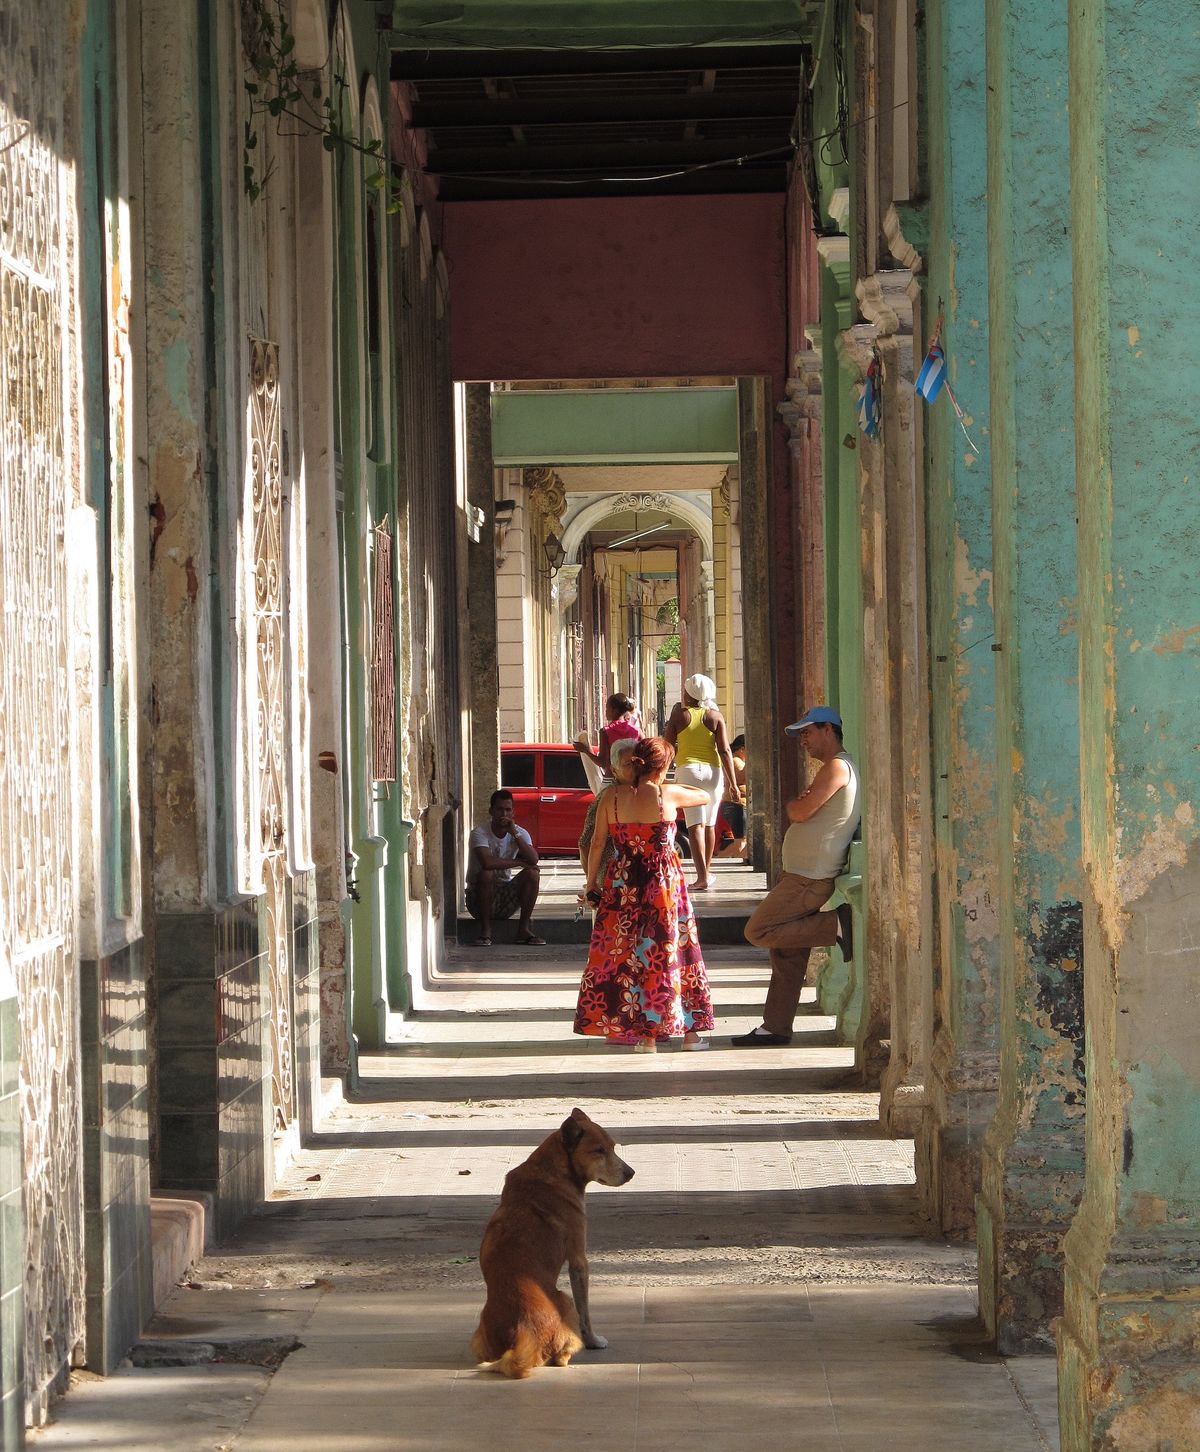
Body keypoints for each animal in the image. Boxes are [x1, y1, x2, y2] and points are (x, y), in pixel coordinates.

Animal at [470, 1103, 636, 1376]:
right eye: (598, 1151)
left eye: (612, 1147)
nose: (631, 1173)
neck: (554, 1171)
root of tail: (521, 1338)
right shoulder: (579, 1260)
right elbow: (585, 1312)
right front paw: (594, 1341)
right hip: (564, 1299)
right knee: (561, 1355)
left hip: (478, 1338)